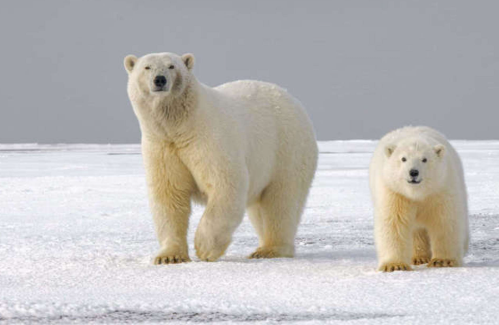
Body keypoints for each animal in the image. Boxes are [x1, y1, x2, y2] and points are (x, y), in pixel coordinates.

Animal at [125, 51, 320, 264]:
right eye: (147, 67)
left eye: (171, 66)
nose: (159, 80)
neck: (181, 126)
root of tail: (292, 99)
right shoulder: (162, 146)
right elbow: (169, 195)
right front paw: (169, 256)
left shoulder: (209, 139)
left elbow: (225, 184)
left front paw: (205, 248)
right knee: (260, 208)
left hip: (287, 149)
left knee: (281, 200)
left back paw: (270, 249)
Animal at [370, 126, 470, 270]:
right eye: (403, 158)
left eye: (424, 159)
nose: (413, 172)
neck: (418, 193)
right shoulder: (395, 192)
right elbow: (394, 222)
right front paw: (395, 265)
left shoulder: (440, 189)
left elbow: (444, 221)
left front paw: (442, 261)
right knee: (416, 231)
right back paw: (419, 257)